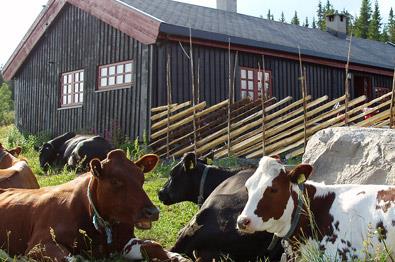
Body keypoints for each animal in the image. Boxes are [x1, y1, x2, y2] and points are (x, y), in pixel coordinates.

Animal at [0, 148, 161, 260]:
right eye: (115, 181)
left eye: (142, 179)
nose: (153, 212)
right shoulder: (39, 244)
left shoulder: (125, 240)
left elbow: (155, 246)